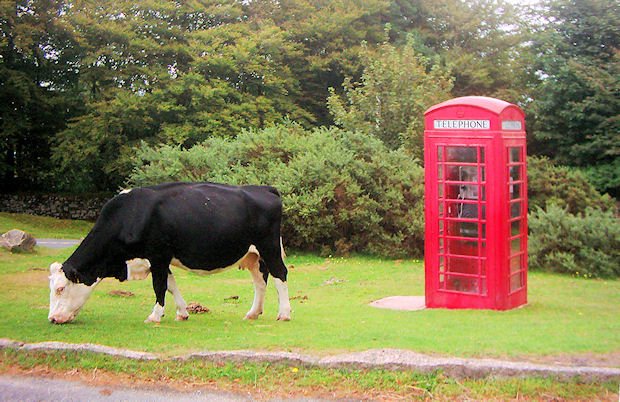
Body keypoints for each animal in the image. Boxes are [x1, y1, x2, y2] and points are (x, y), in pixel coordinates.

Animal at [47, 182, 292, 324]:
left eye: (60, 288)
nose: (52, 318)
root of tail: (263, 188)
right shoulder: (156, 259)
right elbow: (171, 285)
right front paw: (182, 312)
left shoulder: (158, 255)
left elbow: (159, 285)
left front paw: (154, 316)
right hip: (253, 255)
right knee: (260, 281)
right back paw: (253, 313)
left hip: (268, 247)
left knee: (280, 275)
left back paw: (284, 313)